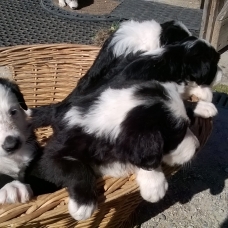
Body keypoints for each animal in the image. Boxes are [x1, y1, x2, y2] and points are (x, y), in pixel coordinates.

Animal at [37, 80, 200, 221]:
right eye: (179, 133)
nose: (197, 147)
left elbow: (146, 161)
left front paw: (154, 185)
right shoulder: (51, 157)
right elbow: (77, 168)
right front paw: (84, 205)